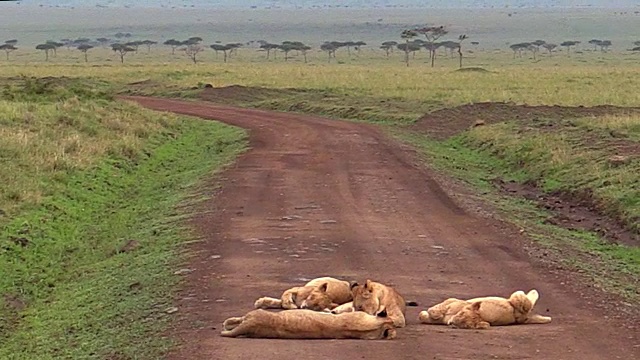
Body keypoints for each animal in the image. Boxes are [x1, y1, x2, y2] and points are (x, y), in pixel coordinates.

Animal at [420, 288, 552, 330]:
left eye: (466, 325)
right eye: (461, 314)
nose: (451, 323)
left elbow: (423, 316)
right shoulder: (453, 301)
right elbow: (427, 314)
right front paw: (432, 313)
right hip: (517, 298)